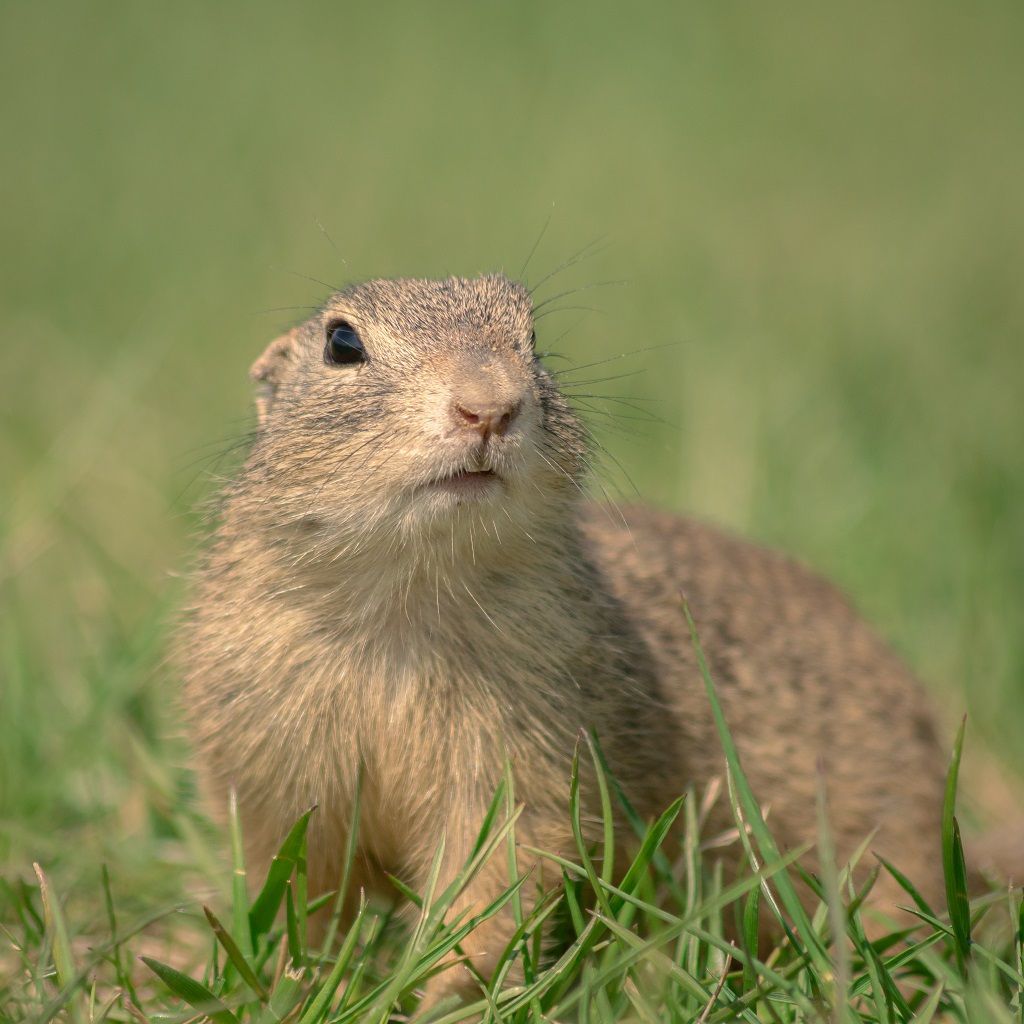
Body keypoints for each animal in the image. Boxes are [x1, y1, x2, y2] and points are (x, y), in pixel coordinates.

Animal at [178, 272, 958, 1007]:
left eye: (534, 340)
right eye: (342, 343)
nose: (489, 407)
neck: (407, 594)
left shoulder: (530, 752)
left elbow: (496, 874)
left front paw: (438, 995)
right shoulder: (268, 770)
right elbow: (297, 887)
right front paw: (286, 980)